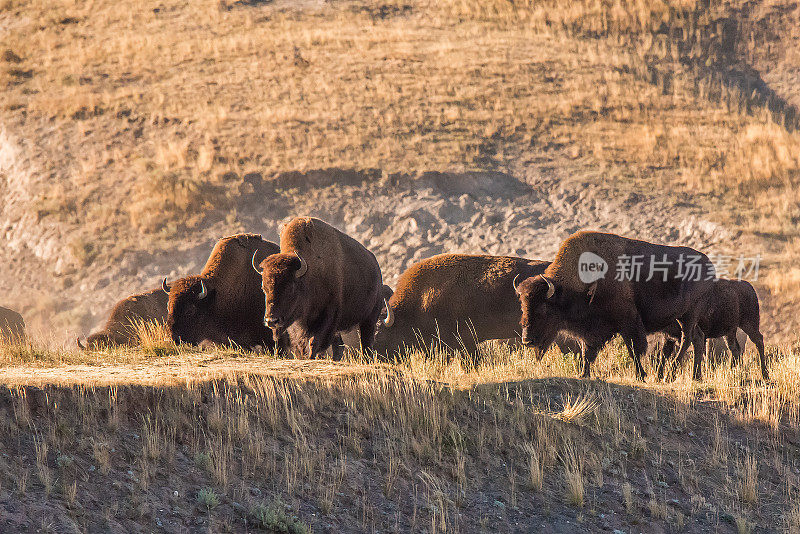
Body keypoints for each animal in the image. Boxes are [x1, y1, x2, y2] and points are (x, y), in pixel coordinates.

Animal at [255, 217, 382, 360]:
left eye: (290, 288)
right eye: (263, 288)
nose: (271, 320)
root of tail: (376, 266)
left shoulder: (327, 315)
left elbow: (314, 341)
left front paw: (311, 357)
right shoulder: (297, 321)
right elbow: (301, 343)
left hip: (370, 318)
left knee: (366, 342)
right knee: (340, 346)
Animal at [516, 232, 716, 384]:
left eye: (543, 309)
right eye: (523, 307)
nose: (527, 340)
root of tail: (709, 265)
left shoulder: (628, 321)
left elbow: (634, 349)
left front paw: (640, 376)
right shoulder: (591, 331)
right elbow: (587, 351)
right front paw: (583, 374)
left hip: (689, 314)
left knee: (687, 339)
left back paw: (671, 374)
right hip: (680, 319)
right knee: (698, 339)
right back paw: (695, 377)